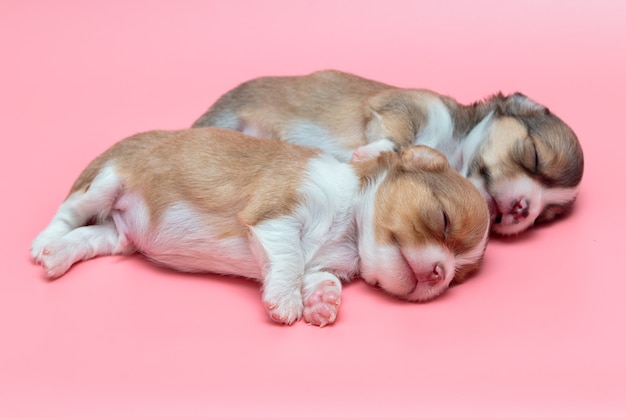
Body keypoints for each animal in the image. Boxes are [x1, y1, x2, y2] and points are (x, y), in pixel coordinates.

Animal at [29, 127, 488, 324]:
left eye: (459, 277)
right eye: (442, 219)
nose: (440, 272)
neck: (348, 229)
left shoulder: (324, 264)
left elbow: (317, 275)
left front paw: (323, 301)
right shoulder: (278, 214)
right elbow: (288, 258)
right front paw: (286, 302)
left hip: (119, 234)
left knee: (90, 237)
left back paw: (58, 255)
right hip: (104, 182)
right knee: (69, 214)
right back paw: (44, 244)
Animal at [193, 70, 584, 236]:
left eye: (546, 215)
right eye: (534, 155)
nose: (524, 209)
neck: (451, 147)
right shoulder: (401, 107)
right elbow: (398, 137)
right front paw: (373, 150)